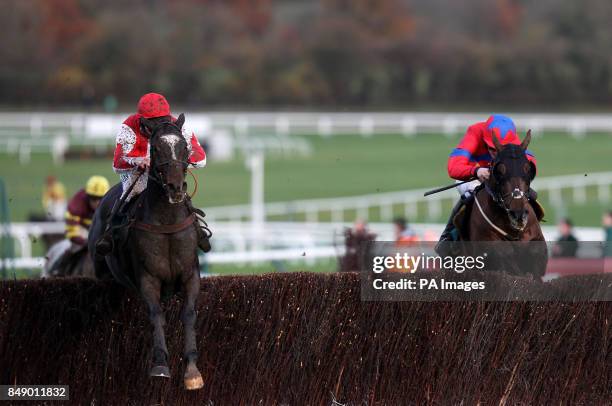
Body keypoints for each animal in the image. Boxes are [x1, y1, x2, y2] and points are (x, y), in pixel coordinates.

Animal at [88, 113, 204, 390]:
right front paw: (160, 364)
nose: (175, 188)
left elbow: (189, 314)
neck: (166, 222)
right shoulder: (148, 278)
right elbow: (156, 314)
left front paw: (192, 371)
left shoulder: (190, 274)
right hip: (102, 272)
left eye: (184, 146)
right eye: (156, 148)